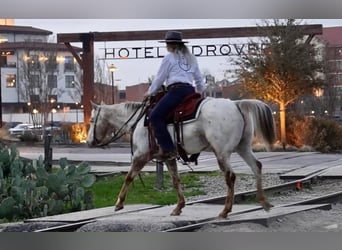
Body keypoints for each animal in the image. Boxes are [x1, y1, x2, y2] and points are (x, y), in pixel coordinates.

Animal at [87, 97, 276, 219]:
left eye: (91, 120)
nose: (89, 142)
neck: (139, 121)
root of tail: (236, 104)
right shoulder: (169, 158)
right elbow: (176, 181)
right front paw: (179, 207)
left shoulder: (140, 156)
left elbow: (128, 177)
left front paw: (119, 203)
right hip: (242, 147)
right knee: (256, 166)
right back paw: (264, 202)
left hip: (222, 152)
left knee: (230, 176)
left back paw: (225, 211)